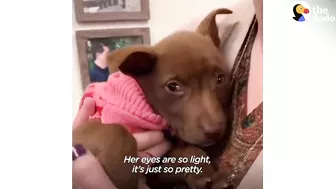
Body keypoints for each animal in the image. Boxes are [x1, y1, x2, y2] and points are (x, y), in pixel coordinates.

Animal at [73, 8, 235, 188]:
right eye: (173, 87)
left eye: (220, 79)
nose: (215, 131)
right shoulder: (85, 130)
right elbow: (117, 130)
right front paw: (122, 178)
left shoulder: (156, 169)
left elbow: (187, 151)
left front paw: (209, 176)